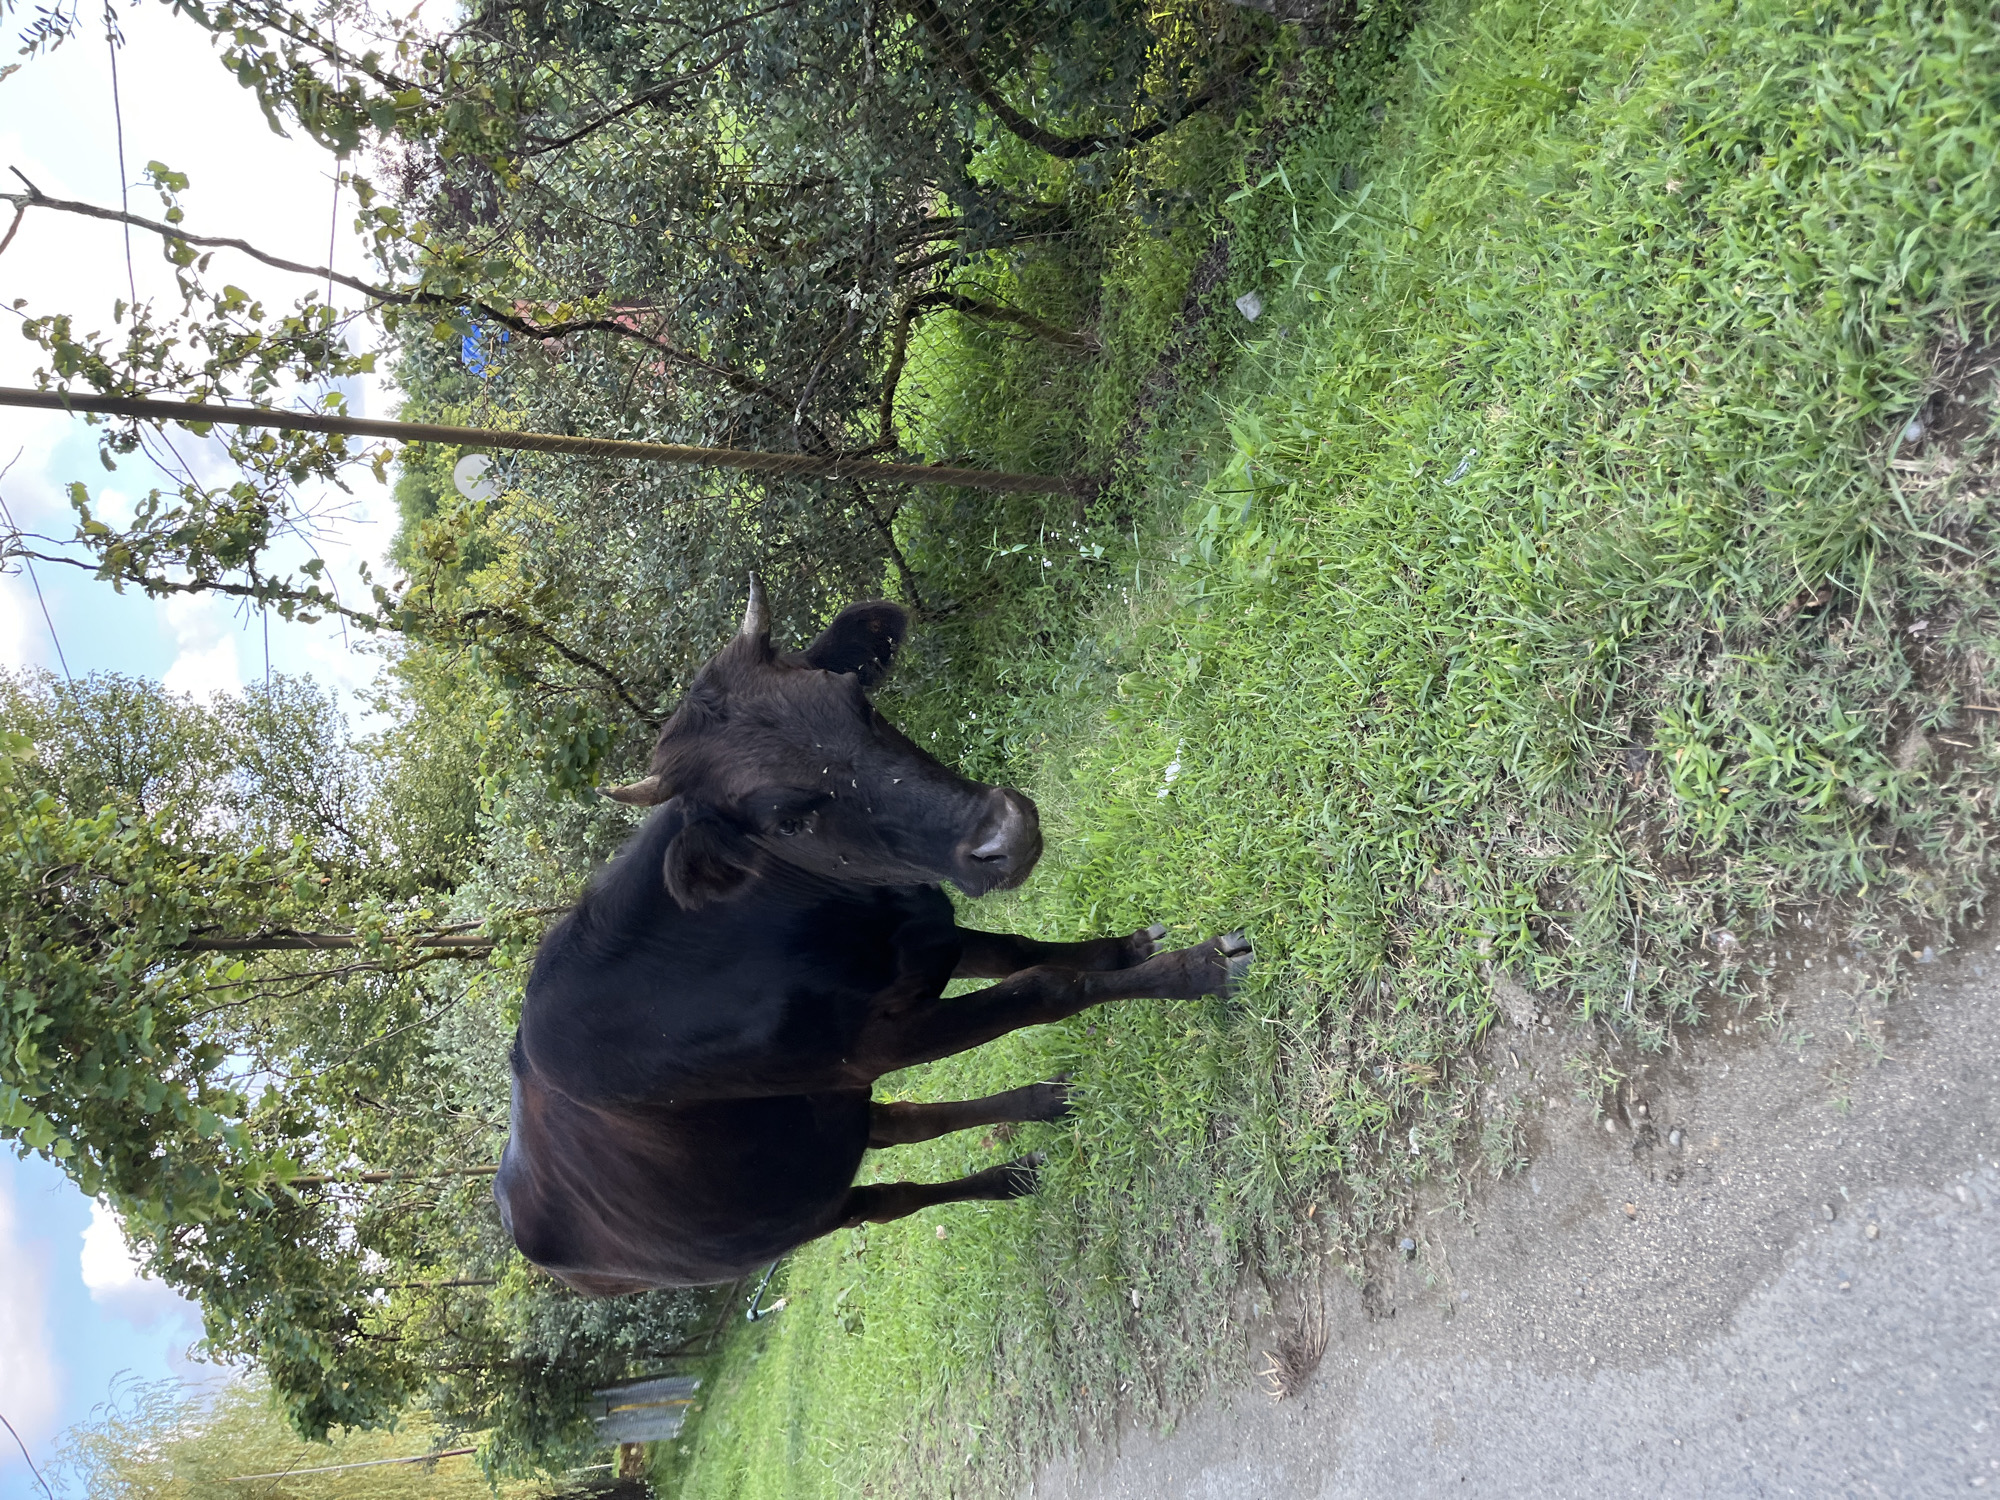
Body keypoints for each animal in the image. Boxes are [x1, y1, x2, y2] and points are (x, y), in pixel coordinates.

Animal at [495, 580, 1251, 1293]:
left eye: (855, 700)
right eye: (786, 818)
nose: (1008, 834)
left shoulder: (924, 940)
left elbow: (1023, 953)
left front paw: (1126, 950)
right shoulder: (876, 1043)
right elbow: (1044, 988)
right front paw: (1196, 970)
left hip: (824, 1119)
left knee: (906, 1120)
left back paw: (1042, 1102)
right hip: (803, 1208)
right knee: (892, 1198)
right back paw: (1009, 1177)